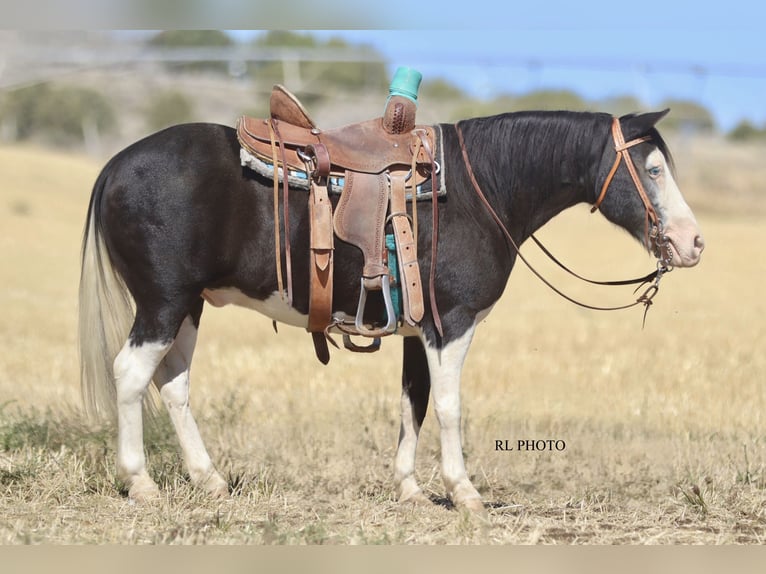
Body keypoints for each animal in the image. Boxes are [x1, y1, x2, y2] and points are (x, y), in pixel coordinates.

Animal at [78, 108, 704, 513]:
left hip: (188, 307)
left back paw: (208, 480)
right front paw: (463, 492)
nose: (693, 242)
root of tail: (114, 164)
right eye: (652, 169)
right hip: (163, 303)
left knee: (174, 384)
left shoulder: (415, 331)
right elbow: (449, 407)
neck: (480, 191)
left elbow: (413, 405)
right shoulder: (451, 325)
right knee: (130, 374)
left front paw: (409, 489)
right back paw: (140, 483)